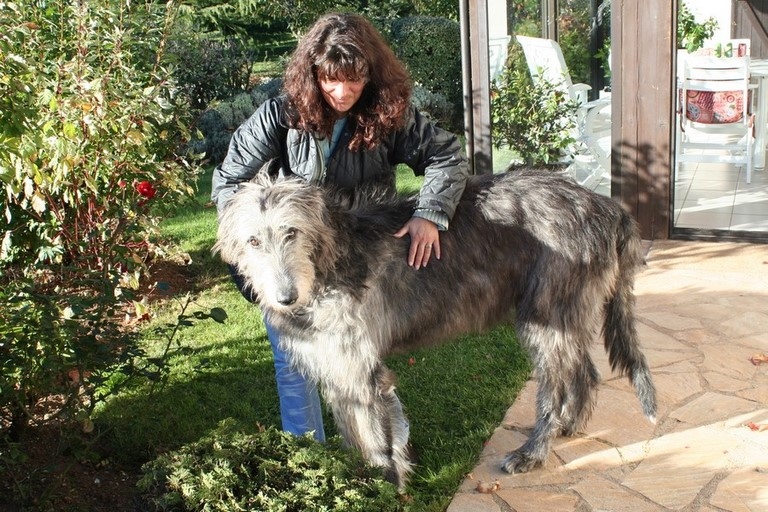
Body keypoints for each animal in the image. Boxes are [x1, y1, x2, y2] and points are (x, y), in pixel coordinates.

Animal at [213, 168, 656, 492]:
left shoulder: (362, 370)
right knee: (586, 371)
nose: (286, 298)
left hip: (546, 316)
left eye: (291, 232)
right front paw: (359, 483)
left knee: (557, 384)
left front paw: (385, 489)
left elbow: (377, 439)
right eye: (252, 241)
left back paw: (532, 452)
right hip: (568, 313)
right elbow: (353, 432)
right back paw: (569, 425)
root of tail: (607, 206)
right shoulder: (337, 368)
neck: (330, 259)